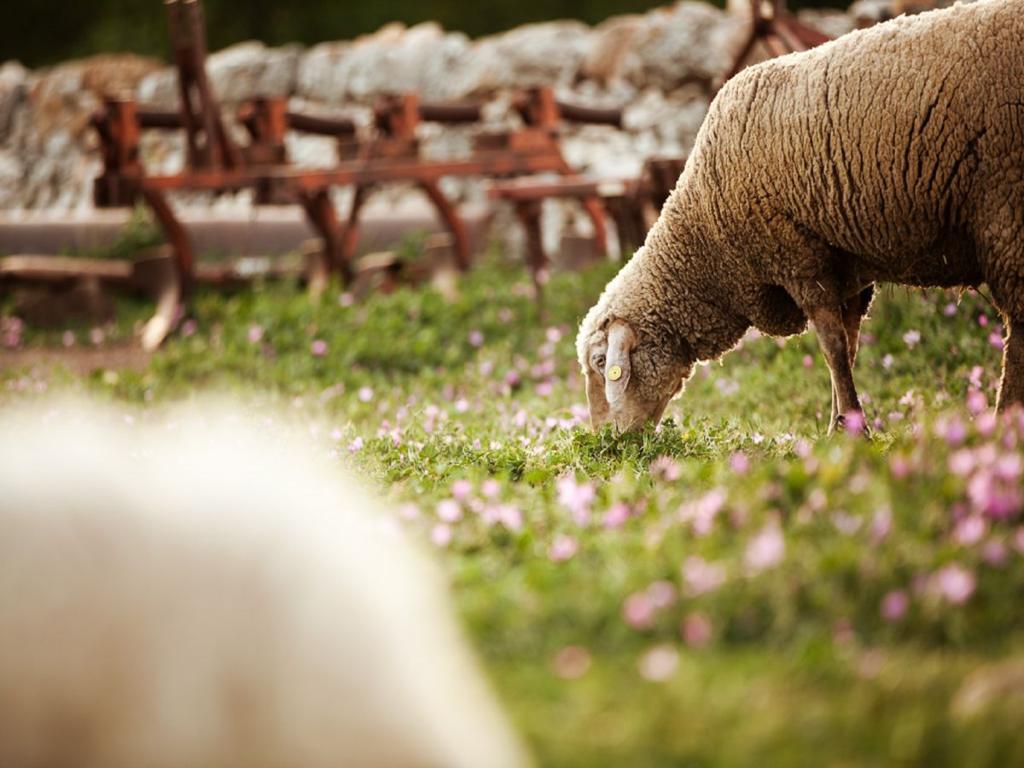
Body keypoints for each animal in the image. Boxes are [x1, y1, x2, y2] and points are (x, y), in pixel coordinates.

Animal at [581, 0, 1019, 434]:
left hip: (1004, 203)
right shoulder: (846, 269)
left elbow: (833, 348)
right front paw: (840, 425)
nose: (608, 442)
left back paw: (1006, 417)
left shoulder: (798, 259)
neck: (706, 238)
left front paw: (852, 428)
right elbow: (850, 345)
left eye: (602, 363)